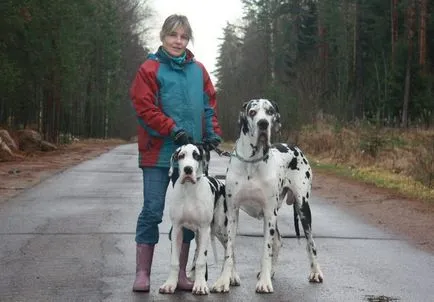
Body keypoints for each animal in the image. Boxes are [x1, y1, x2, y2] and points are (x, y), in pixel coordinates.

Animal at [158, 144, 229, 294]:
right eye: (181, 156)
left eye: (196, 156)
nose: (188, 169)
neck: (189, 189)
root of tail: (220, 182)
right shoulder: (177, 229)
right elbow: (175, 262)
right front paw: (170, 284)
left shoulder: (204, 229)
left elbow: (201, 261)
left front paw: (201, 285)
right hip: (199, 235)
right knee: (197, 253)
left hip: (220, 229)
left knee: (230, 252)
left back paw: (230, 278)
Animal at [210, 99, 322, 292]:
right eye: (252, 112)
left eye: (270, 112)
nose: (263, 124)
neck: (251, 163)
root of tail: (294, 146)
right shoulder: (233, 212)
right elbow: (230, 251)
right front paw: (224, 280)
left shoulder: (269, 213)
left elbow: (266, 250)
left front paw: (264, 282)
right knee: (278, 241)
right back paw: (271, 272)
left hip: (302, 208)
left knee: (310, 243)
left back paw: (315, 272)